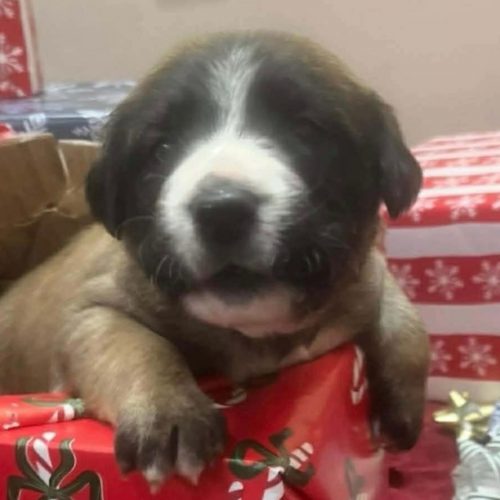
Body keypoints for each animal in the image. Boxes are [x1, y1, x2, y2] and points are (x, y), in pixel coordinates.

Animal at [0, 31, 429, 488]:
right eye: (162, 149)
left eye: (305, 132)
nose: (222, 211)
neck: (255, 333)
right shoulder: (91, 311)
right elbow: (134, 344)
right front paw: (167, 411)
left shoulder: (366, 278)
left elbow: (405, 318)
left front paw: (403, 401)